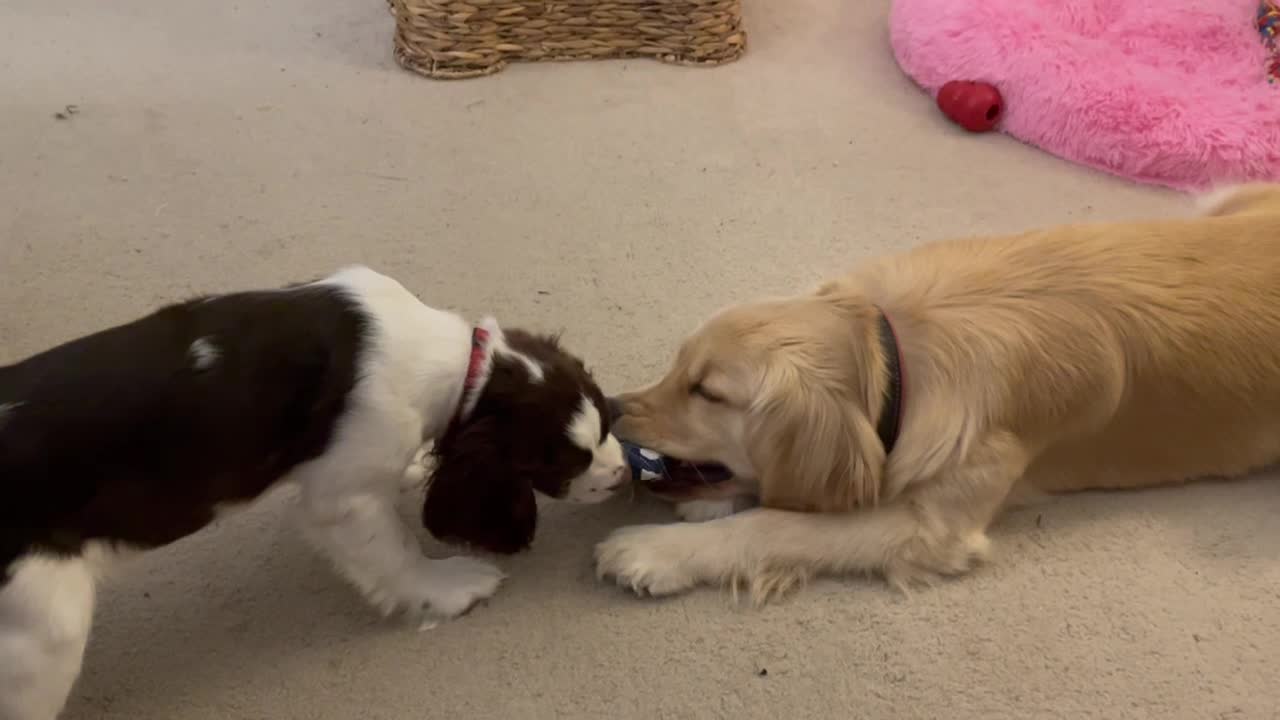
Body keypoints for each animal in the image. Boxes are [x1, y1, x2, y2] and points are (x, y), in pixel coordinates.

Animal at [596, 183, 1280, 599]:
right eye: (678, 365)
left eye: (708, 392)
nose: (611, 408)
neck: (894, 356)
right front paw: (706, 506)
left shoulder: (932, 527)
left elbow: (774, 525)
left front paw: (656, 551)